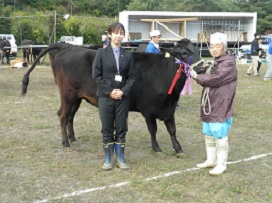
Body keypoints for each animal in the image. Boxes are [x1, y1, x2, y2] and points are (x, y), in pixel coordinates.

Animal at [21, 40, 204, 156]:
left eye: (197, 50)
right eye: (183, 53)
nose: (203, 66)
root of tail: (69, 47)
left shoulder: (169, 109)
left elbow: (172, 129)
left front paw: (178, 148)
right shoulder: (148, 110)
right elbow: (153, 130)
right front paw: (156, 147)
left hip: (77, 98)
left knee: (70, 116)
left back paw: (72, 137)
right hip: (67, 94)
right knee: (62, 115)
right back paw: (66, 142)